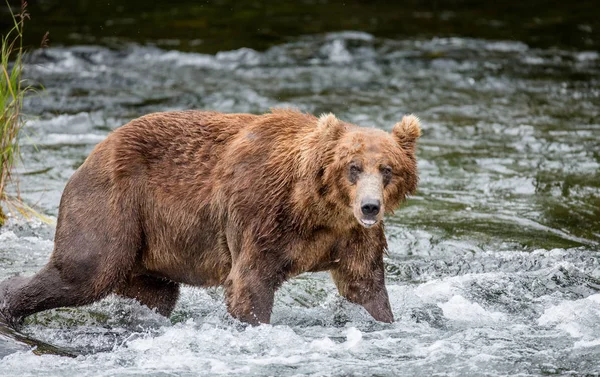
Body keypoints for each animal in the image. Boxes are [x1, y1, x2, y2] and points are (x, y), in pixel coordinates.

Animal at [0, 108, 420, 326]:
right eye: (353, 166)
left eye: (387, 169)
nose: (370, 206)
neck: (316, 209)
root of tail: (93, 152)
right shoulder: (262, 215)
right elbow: (249, 282)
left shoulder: (350, 237)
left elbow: (364, 285)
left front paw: (384, 320)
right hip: (114, 204)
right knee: (85, 269)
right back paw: (10, 303)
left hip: (152, 245)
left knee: (154, 294)